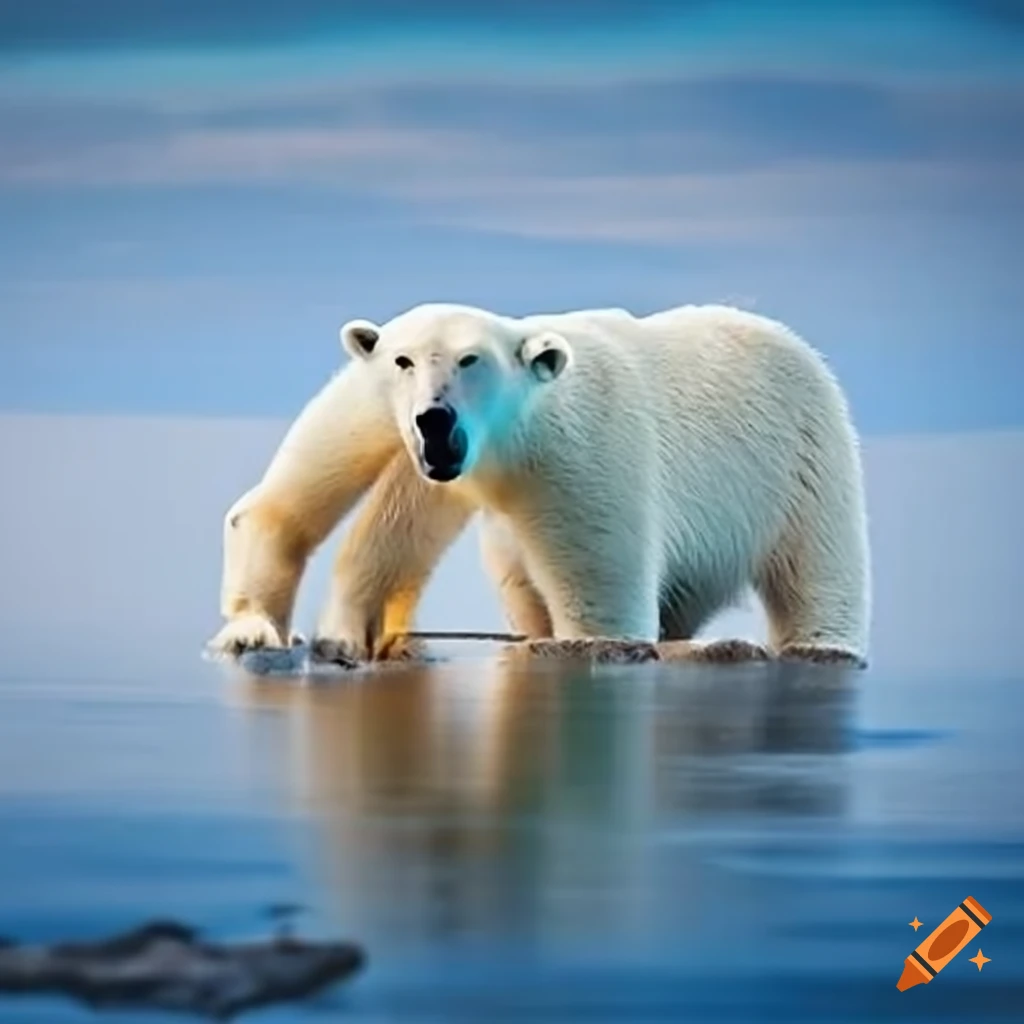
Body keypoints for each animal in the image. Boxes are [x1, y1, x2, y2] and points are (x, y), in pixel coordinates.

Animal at [208, 302, 870, 667]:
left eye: (470, 360)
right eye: (403, 360)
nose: (433, 418)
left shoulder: (584, 453)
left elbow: (603, 596)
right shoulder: (381, 415)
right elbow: (298, 501)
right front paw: (258, 632)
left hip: (804, 454)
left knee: (818, 563)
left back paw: (815, 646)